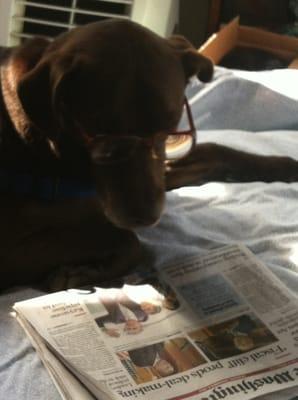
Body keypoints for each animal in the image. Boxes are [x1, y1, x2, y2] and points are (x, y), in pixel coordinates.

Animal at [0, 19, 298, 290]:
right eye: (101, 134)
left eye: (169, 126)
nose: (145, 217)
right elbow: (127, 239)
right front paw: (80, 273)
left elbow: (214, 151)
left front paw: (283, 165)